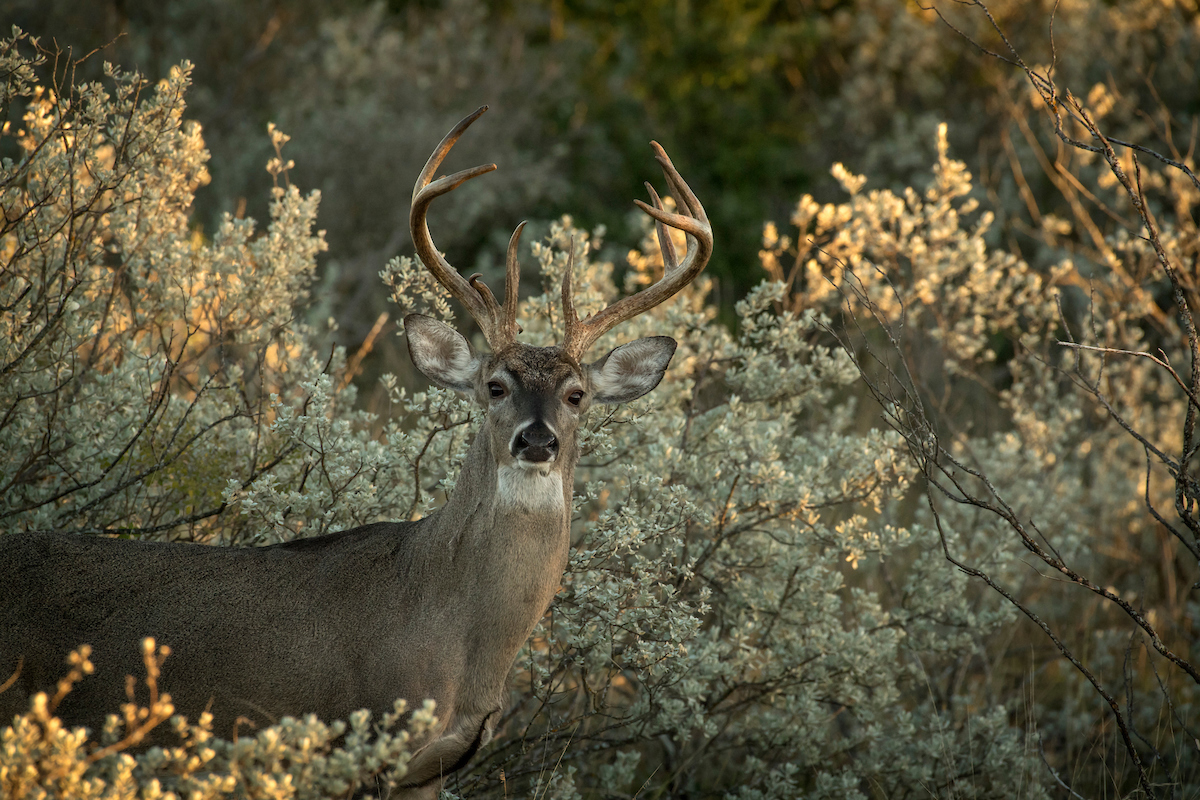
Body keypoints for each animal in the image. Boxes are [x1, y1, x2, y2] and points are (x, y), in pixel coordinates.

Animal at [0, 104, 710, 796]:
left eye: (577, 394)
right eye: (494, 385)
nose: (536, 439)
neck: (458, 635)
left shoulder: (432, 771)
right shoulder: (360, 741)